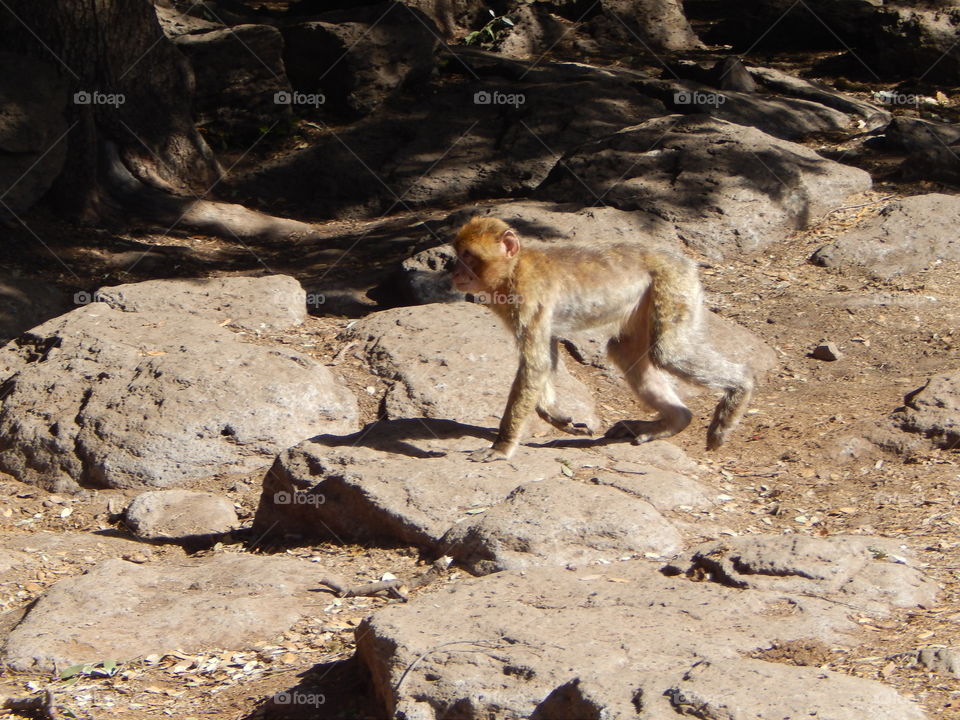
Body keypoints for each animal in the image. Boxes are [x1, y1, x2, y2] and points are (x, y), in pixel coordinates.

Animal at [451, 216, 753, 462]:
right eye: (458, 254)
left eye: (469, 256)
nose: (455, 272)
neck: (512, 270)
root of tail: (683, 261)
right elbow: (546, 353)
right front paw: (553, 414)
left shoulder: (528, 297)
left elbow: (534, 365)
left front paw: (502, 446)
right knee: (624, 350)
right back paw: (675, 420)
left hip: (674, 285)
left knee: (668, 353)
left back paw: (741, 387)